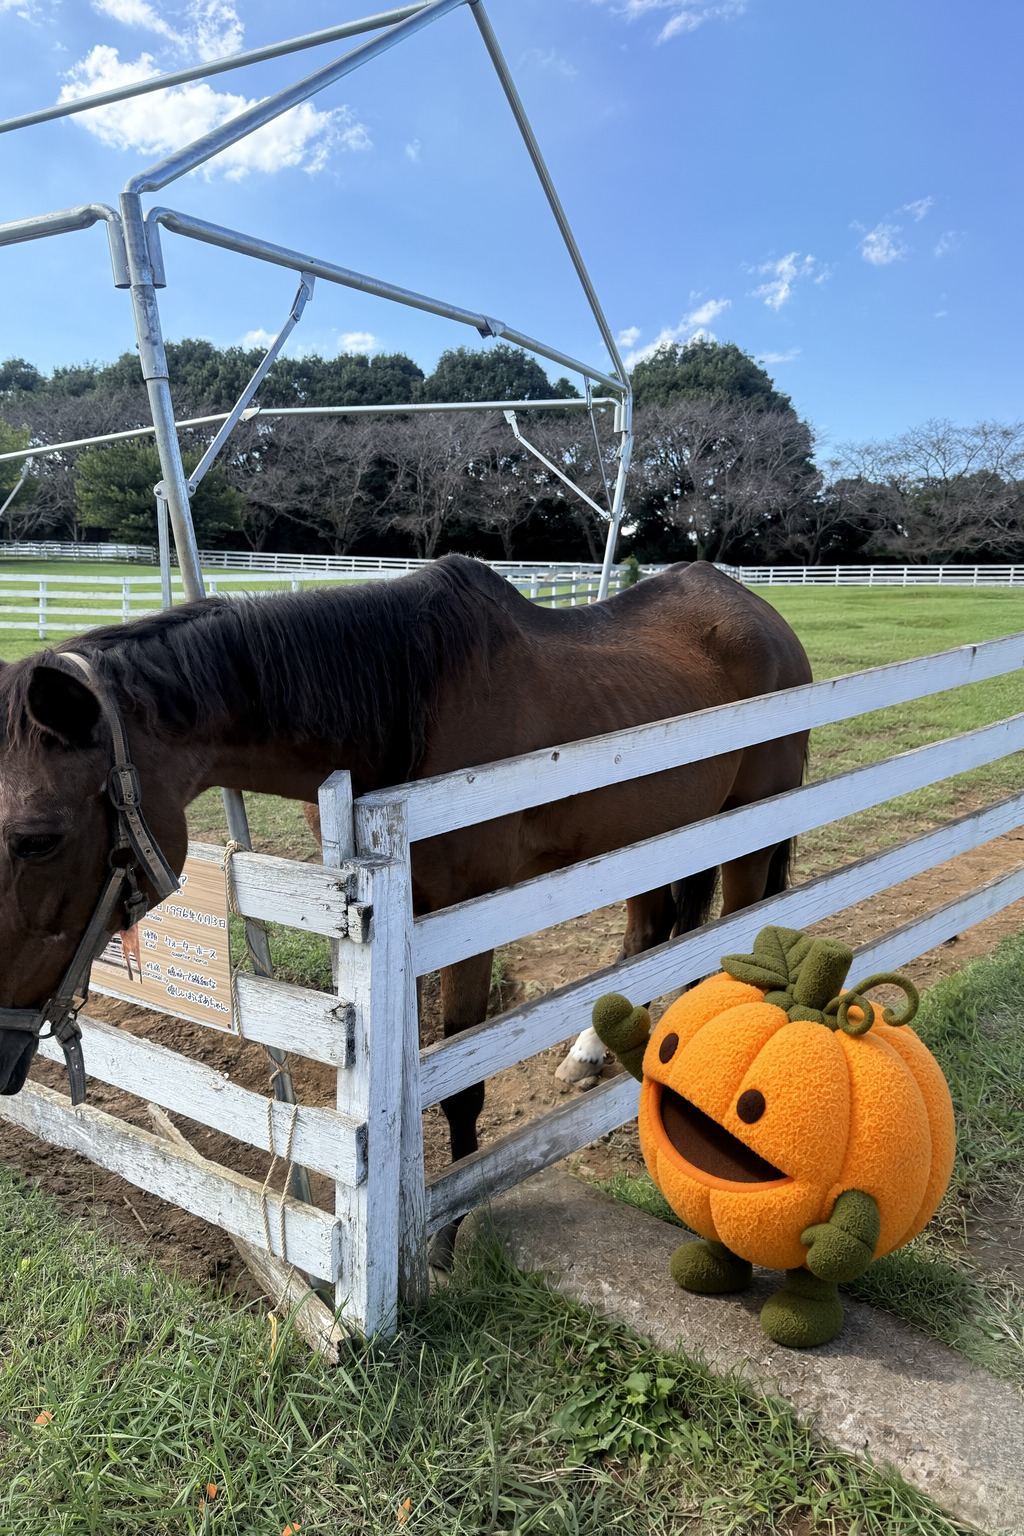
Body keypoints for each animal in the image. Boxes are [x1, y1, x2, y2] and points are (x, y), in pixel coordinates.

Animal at [0, 555, 810, 1261]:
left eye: (36, 838)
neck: (406, 713)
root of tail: (765, 618)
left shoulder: (467, 915)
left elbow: (459, 1084)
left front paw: (448, 1229)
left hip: (750, 830)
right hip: (653, 837)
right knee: (653, 935)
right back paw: (595, 1051)